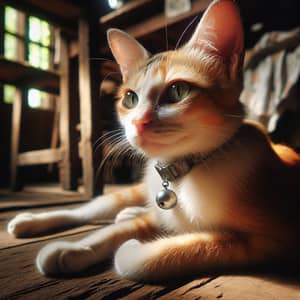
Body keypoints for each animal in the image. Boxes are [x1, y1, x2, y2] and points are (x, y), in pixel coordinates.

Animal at [6, 0, 300, 282]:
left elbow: (192, 246)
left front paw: (131, 251)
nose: (138, 122)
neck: (186, 176)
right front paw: (73, 248)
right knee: (89, 210)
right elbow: (113, 232)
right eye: (130, 99)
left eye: (178, 91)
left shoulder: (272, 240)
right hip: (128, 193)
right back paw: (31, 221)